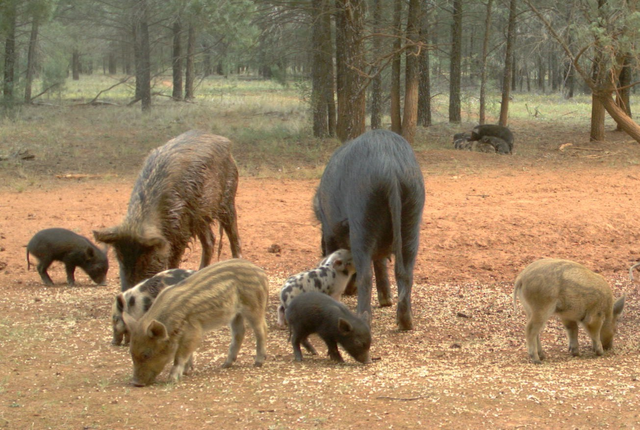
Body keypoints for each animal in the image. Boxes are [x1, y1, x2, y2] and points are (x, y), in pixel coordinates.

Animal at [94, 130, 242, 292]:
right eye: (120, 258)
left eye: (146, 259)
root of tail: (224, 141)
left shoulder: (180, 233)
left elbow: (173, 262)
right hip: (200, 216)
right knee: (210, 240)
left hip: (228, 198)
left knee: (233, 235)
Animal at [122, 258, 268, 386]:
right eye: (131, 353)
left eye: (147, 354)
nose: (135, 383)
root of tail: (262, 273)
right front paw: (186, 372)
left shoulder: (194, 330)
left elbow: (181, 355)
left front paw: (172, 379)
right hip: (235, 314)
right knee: (239, 332)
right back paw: (225, 365)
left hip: (254, 305)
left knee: (261, 329)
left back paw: (258, 363)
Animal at [314, 129, 424, 330]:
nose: (348, 292)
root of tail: (391, 168)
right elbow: (381, 262)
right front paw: (386, 301)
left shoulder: (331, 231)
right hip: (412, 213)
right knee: (406, 271)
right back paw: (406, 323)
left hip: (363, 215)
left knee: (365, 273)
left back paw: (362, 320)